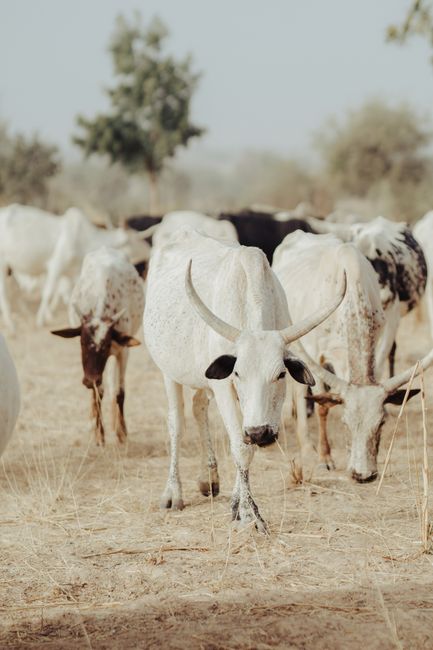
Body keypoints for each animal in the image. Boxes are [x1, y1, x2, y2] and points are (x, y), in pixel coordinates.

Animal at [0, 204, 150, 330]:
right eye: (135, 239)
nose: (149, 248)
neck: (85, 239)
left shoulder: (71, 274)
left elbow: (68, 296)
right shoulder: (56, 265)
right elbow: (48, 292)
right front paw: (40, 320)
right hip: (3, 264)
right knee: (5, 294)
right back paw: (11, 325)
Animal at [51, 247, 144, 445]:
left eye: (107, 343)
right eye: (81, 341)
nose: (89, 380)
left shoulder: (123, 352)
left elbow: (119, 392)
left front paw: (121, 432)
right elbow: (97, 393)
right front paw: (98, 434)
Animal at [143, 228, 346, 531]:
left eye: (281, 374)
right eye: (238, 372)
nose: (260, 433)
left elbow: (244, 444)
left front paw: (237, 505)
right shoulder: (223, 385)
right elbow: (241, 446)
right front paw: (250, 515)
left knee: (199, 408)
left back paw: (209, 479)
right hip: (169, 372)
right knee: (176, 423)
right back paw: (173, 493)